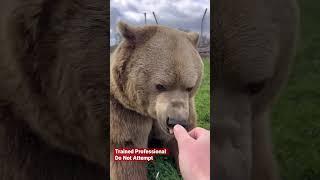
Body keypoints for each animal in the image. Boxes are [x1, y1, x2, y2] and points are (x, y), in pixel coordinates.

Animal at [110, 21, 204, 179]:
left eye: (189, 87)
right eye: (160, 85)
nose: (176, 121)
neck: (150, 113)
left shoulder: (187, 107)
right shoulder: (125, 112)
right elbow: (128, 152)